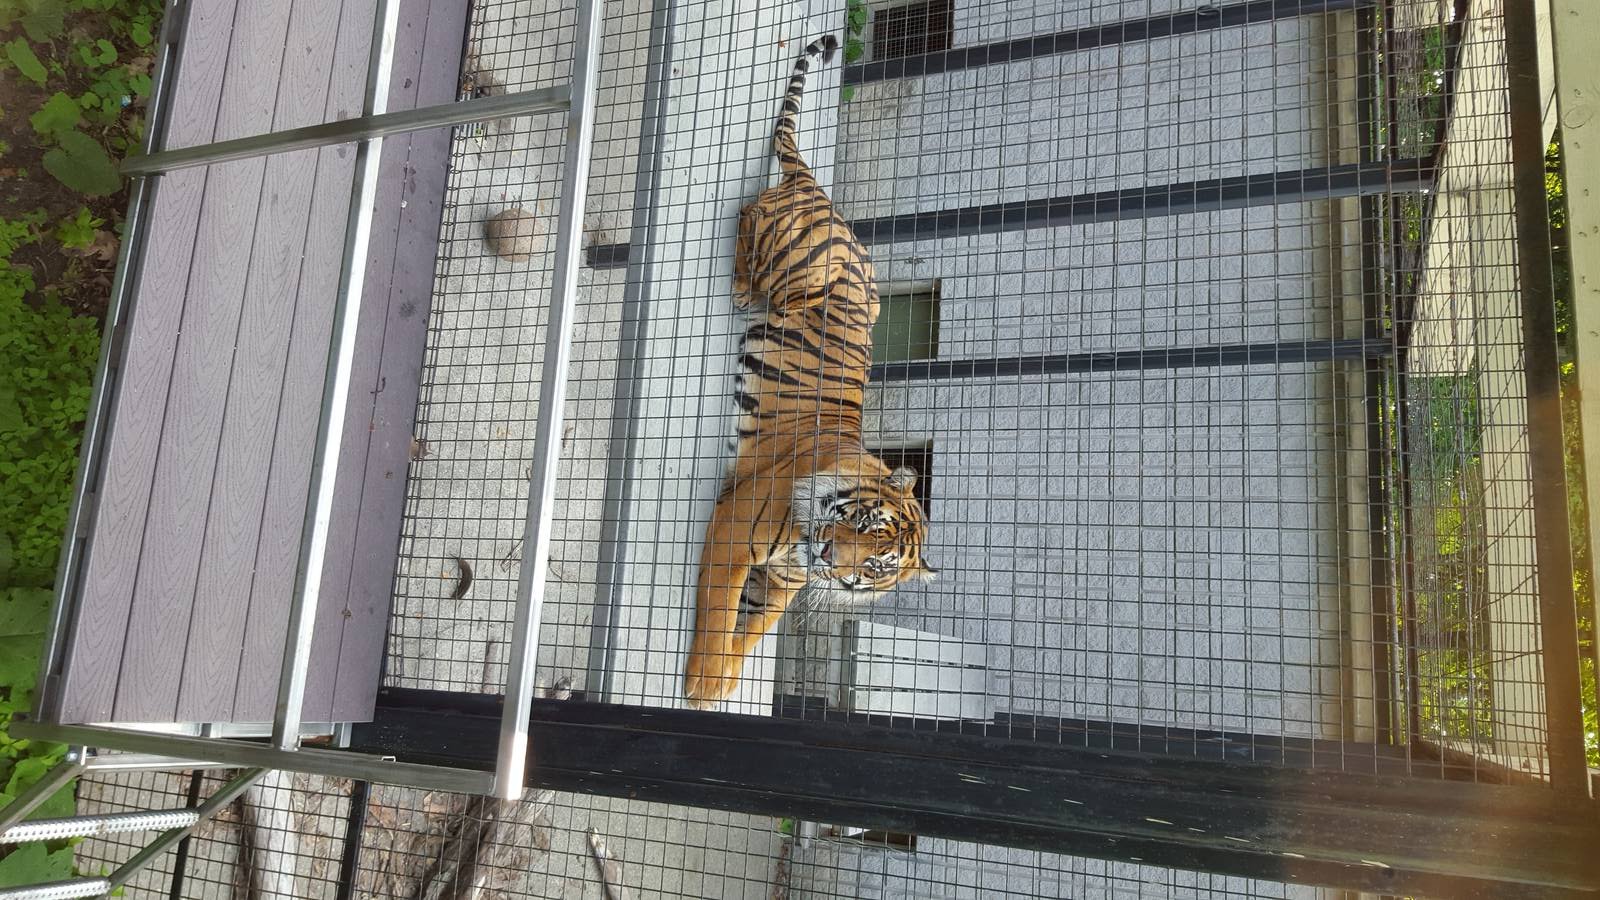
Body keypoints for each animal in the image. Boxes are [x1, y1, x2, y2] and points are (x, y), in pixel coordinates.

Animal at [683, 35, 935, 708]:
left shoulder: (781, 581)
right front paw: (701, 686)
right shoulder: (734, 527)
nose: (828, 554)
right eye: (861, 521)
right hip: (795, 270)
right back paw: (741, 286)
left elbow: (751, 631)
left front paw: (723, 679)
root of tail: (819, 190)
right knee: (747, 209)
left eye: (875, 565)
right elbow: (718, 617)